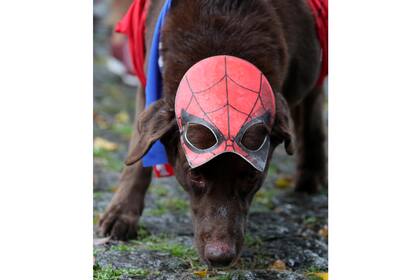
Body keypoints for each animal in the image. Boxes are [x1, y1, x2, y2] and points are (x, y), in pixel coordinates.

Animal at [100, 0, 326, 266]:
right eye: (195, 175)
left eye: (251, 177)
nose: (220, 257)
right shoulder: (149, 80)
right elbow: (138, 157)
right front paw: (122, 212)